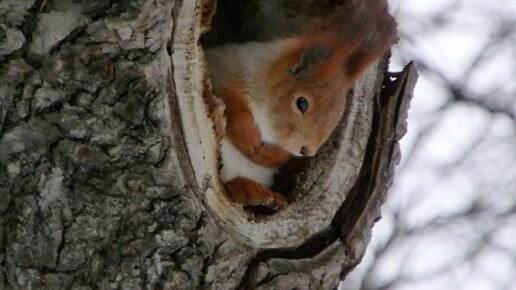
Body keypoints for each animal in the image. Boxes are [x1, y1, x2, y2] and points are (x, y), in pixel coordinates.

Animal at [205, 0, 396, 210]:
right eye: (302, 103)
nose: (307, 151)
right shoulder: (220, 70)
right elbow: (231, 105)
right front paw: (250, 140)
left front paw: (274, 155)